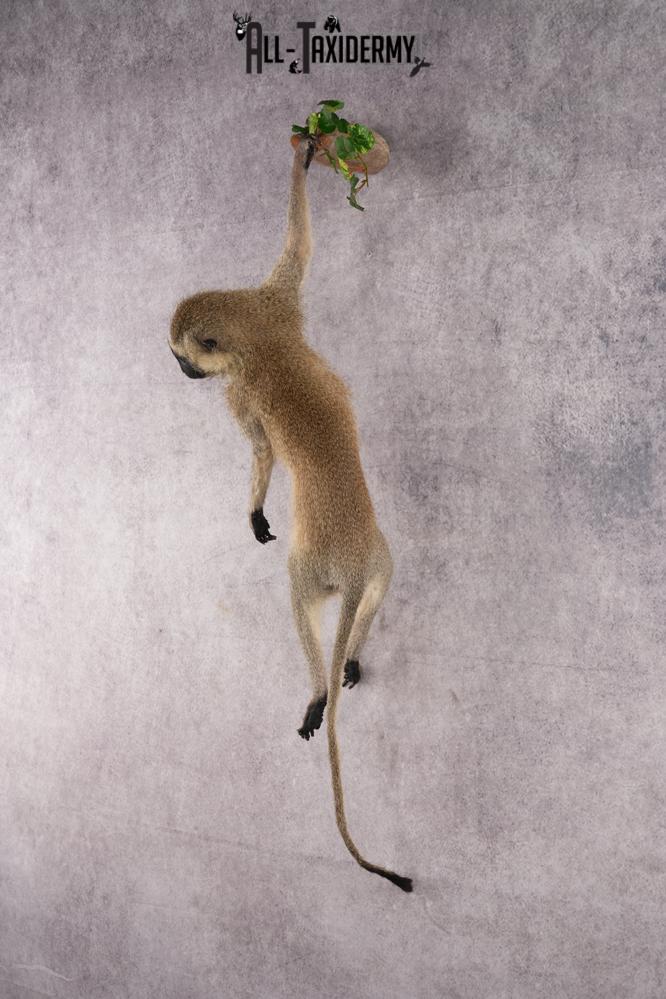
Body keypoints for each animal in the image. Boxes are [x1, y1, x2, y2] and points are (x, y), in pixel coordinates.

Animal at [168, 136, 412, 893]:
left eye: (185, 358)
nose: (181, 373)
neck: (262, 340)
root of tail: (354, 559)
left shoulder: (241, 388)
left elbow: (260, 452)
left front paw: (252, 510)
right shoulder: (277, 297)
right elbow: (299, 244)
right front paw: (306, 157)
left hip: (315, 565)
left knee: (299, 603)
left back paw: (317, 690)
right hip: (382, 562)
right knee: (378, 594)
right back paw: (350, 658)